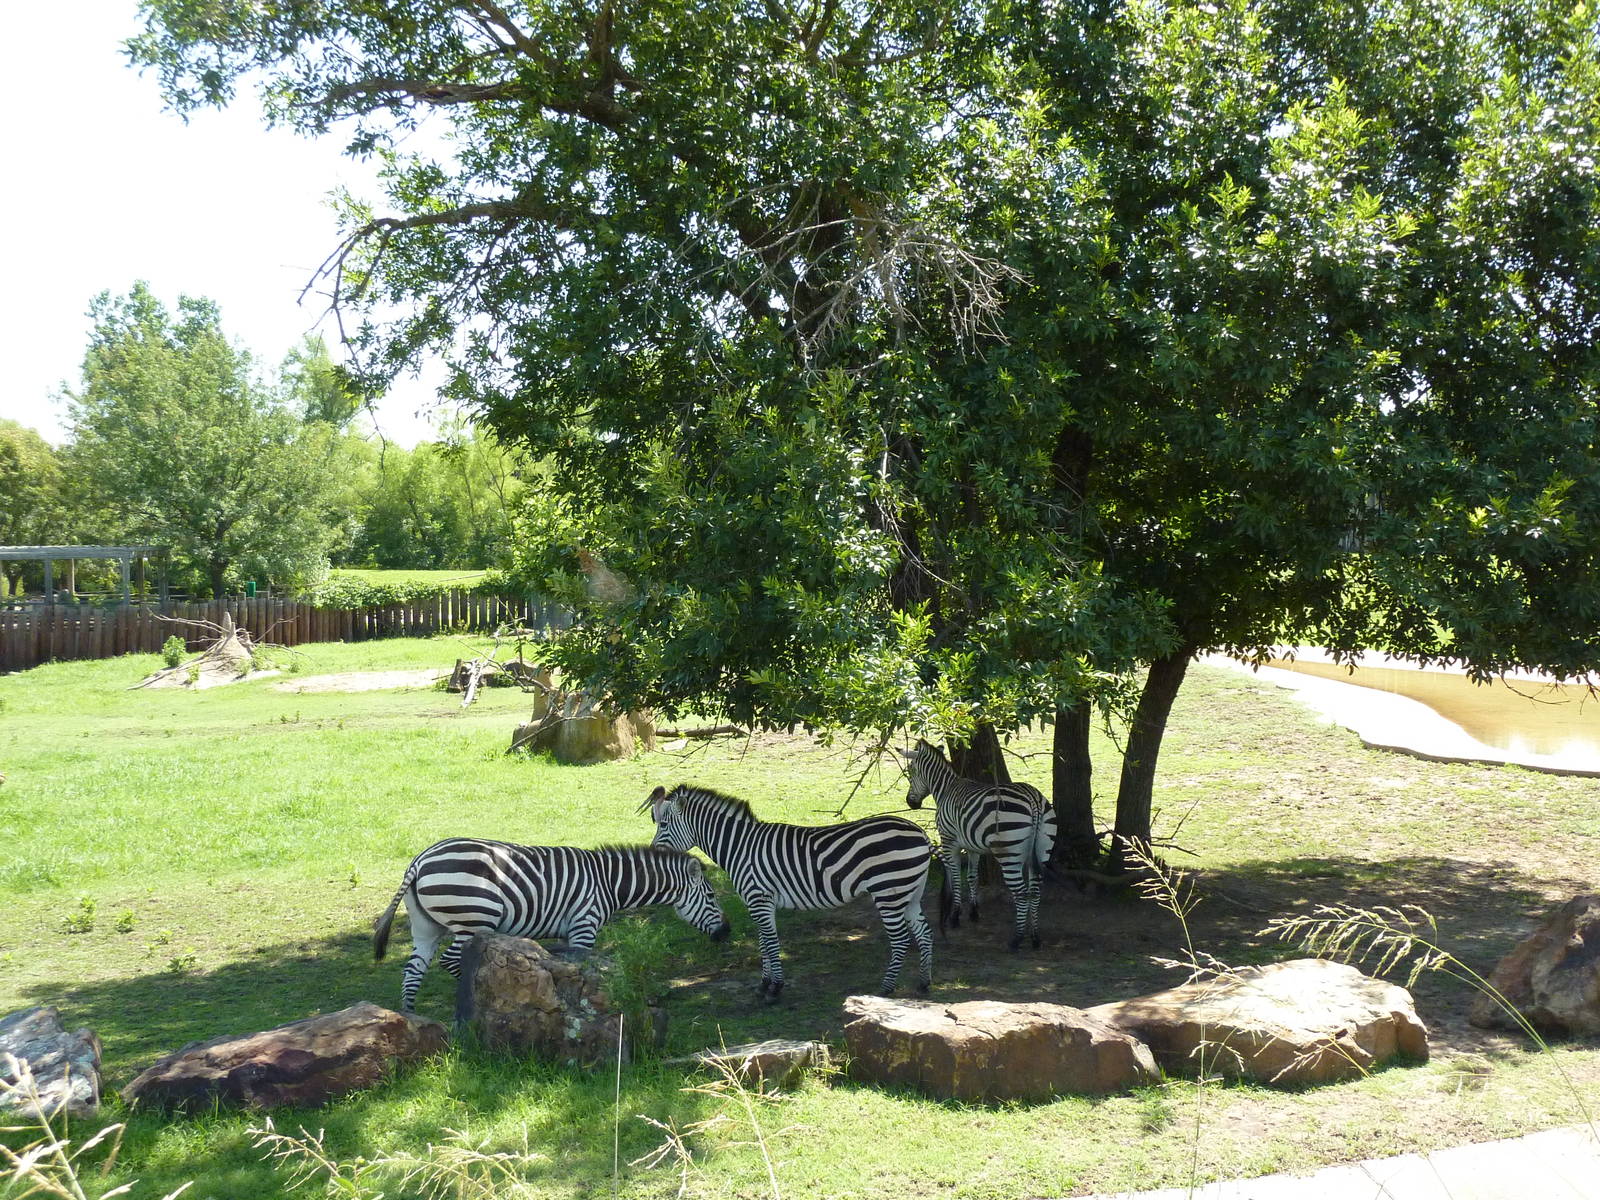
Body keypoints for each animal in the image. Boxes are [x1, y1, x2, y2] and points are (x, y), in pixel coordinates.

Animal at [373, 839, 731, 1012]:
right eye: (712, 895)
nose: (727, 934)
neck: (608, 883)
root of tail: (420, 860)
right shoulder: (584, 924)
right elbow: (582, 968)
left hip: (426, 927)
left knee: (412, 972)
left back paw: (412, 1016)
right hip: (473, 918)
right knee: (450, 961)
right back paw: (473, 995)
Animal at [643, 784, 934, 999]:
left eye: (663, 824)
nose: (653, 856)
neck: (740, 847)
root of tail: (920, 832)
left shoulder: (758, 898)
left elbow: (771, 942)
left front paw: (775, 988)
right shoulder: (760, 901)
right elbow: (763, 941)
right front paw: (764, 984)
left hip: (889, 892)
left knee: (901, 940)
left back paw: (886, 989)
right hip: (911, 893)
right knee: (924, 933)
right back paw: (924, 983)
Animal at [902, 738, 1055, 951]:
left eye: (911, 771)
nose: (911, 803)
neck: (945, 789)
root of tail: (1033, 799)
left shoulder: (949, 842)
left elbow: (956, 877)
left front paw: (955, 916)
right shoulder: (973, 846)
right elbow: (972, 877)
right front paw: (973, 912)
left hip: (1009, 854)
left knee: (1022, 894)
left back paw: (1016, 939)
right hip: (1042, 849)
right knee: (1035, 891)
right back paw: (1035, 937)